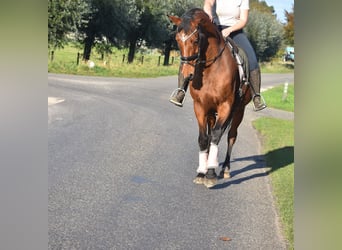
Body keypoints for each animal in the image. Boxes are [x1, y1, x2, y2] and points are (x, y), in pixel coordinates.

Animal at [167, 7, 252, 188]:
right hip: (212, 112)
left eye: (196, 40)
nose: (188, 74)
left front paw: (211, 173)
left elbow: (216, 136)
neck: (211, 69)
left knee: (230, 136)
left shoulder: (225, 106)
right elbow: (203, 138)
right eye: (177, 40)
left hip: (238, 111)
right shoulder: (200, 106)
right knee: (213, 132)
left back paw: (225, 169)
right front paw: (201, 172)